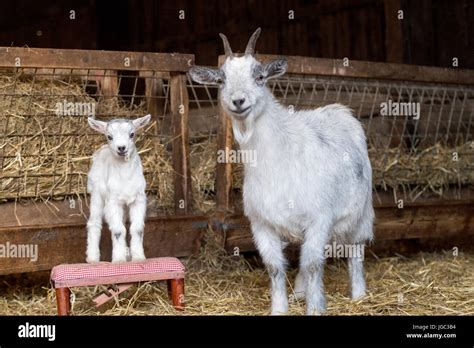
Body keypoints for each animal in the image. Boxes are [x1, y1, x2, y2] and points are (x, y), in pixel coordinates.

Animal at [85, 115, 150, 264]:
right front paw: (119, 260)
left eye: (132, 134)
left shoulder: (138, 199)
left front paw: (138, 258)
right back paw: (93, 258)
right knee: (94, 223)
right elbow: (119, 231)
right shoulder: (112, 202)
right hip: (96, 193)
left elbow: (136, 229)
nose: (121, 148)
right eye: (109, 136)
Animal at [189, 28, 374, 314]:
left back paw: (358, 294)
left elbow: (313, 264)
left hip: (362, 211)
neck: (277, 158)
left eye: (259, 76)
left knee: (355, 249)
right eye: (221, 80)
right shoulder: (262, 223)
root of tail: (340, 110)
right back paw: (300, 290)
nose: (238, 101)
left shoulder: (319, 218)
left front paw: (315, 308)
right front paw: (279, 308)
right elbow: (275, 267)